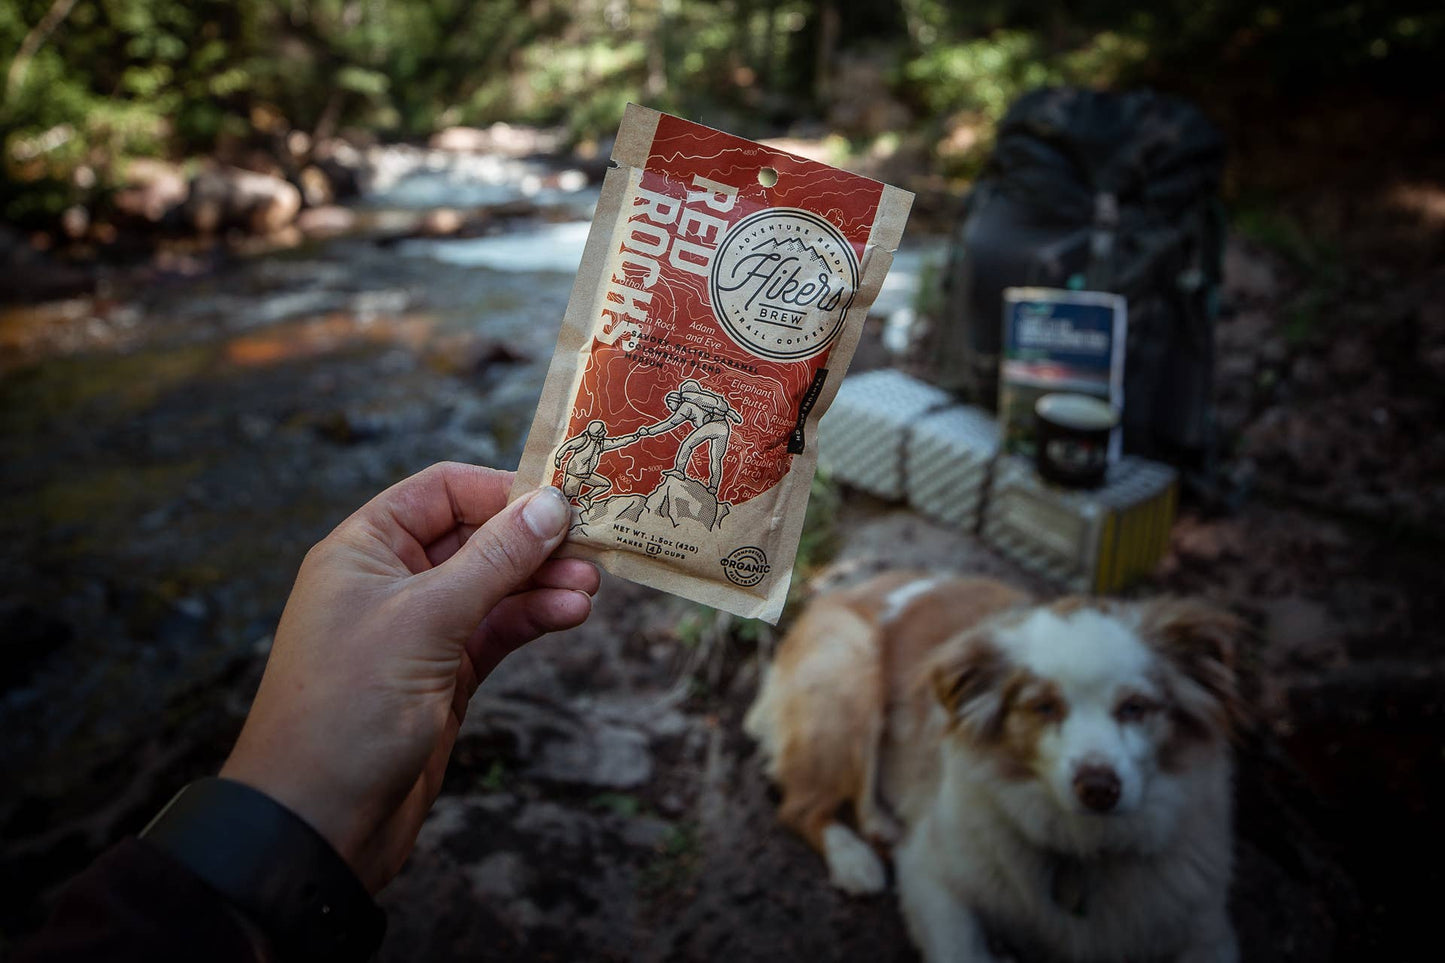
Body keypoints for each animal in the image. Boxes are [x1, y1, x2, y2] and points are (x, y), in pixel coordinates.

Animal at [745, 569, 1242, 960]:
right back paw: (855, 859)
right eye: (1043, 707)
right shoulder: (932, 878)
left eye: (1135, 707)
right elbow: (963, 951)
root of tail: (846, 589)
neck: (1084, 849)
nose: (1099, 788)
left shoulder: (1205, 930)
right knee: (801, 806)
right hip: (851, 664)